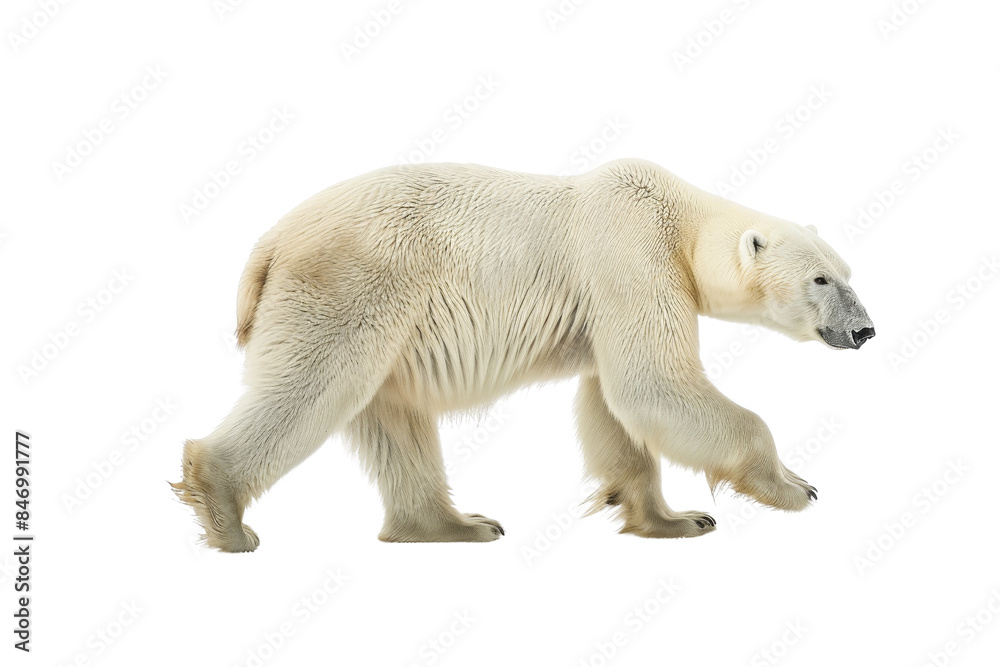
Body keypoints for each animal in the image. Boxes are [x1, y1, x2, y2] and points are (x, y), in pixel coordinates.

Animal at [171, 158, 875, 552]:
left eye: (847, 272)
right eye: (820, 280)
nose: (865, 330)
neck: (680, 219)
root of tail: (267, 243)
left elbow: (613, 405)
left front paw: (673, 519)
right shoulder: (629, 255)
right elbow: (653, 383)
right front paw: (794, 486)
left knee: (393, 413)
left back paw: (459, 524)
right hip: (351, 283)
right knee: (313, 384)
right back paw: (227, 516)